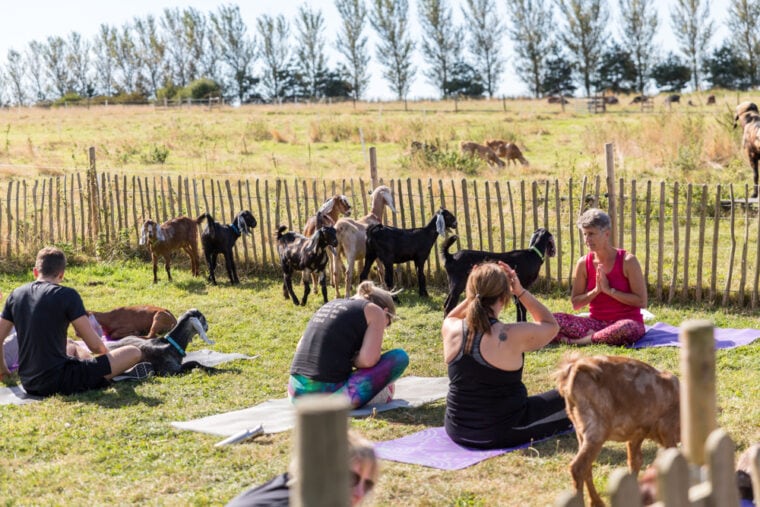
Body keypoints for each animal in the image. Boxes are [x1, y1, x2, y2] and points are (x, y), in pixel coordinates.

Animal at [552, 354, 684, 507]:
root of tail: (574, 368)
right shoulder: (667, 429)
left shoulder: (636, 434)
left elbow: (635, 461)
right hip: (596, 431)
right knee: (577, 467)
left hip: (580, 431)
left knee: (587, 468)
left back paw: (597, 502)